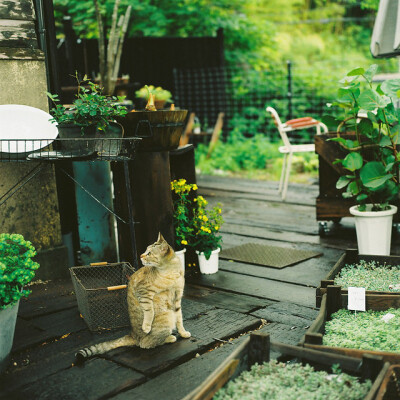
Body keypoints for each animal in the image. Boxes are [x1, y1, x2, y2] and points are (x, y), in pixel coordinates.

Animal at [77, 231, 192, 362]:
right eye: (145, 250)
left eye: (149, 253)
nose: (141, 256)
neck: (171, 272)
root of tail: (133, 335)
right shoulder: (143, 292)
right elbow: (149, 311)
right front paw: (146, 326)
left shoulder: (177, 298)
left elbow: (179, 319)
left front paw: (183, 333)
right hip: (165, 319)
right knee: (145, 344)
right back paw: (169, 338)